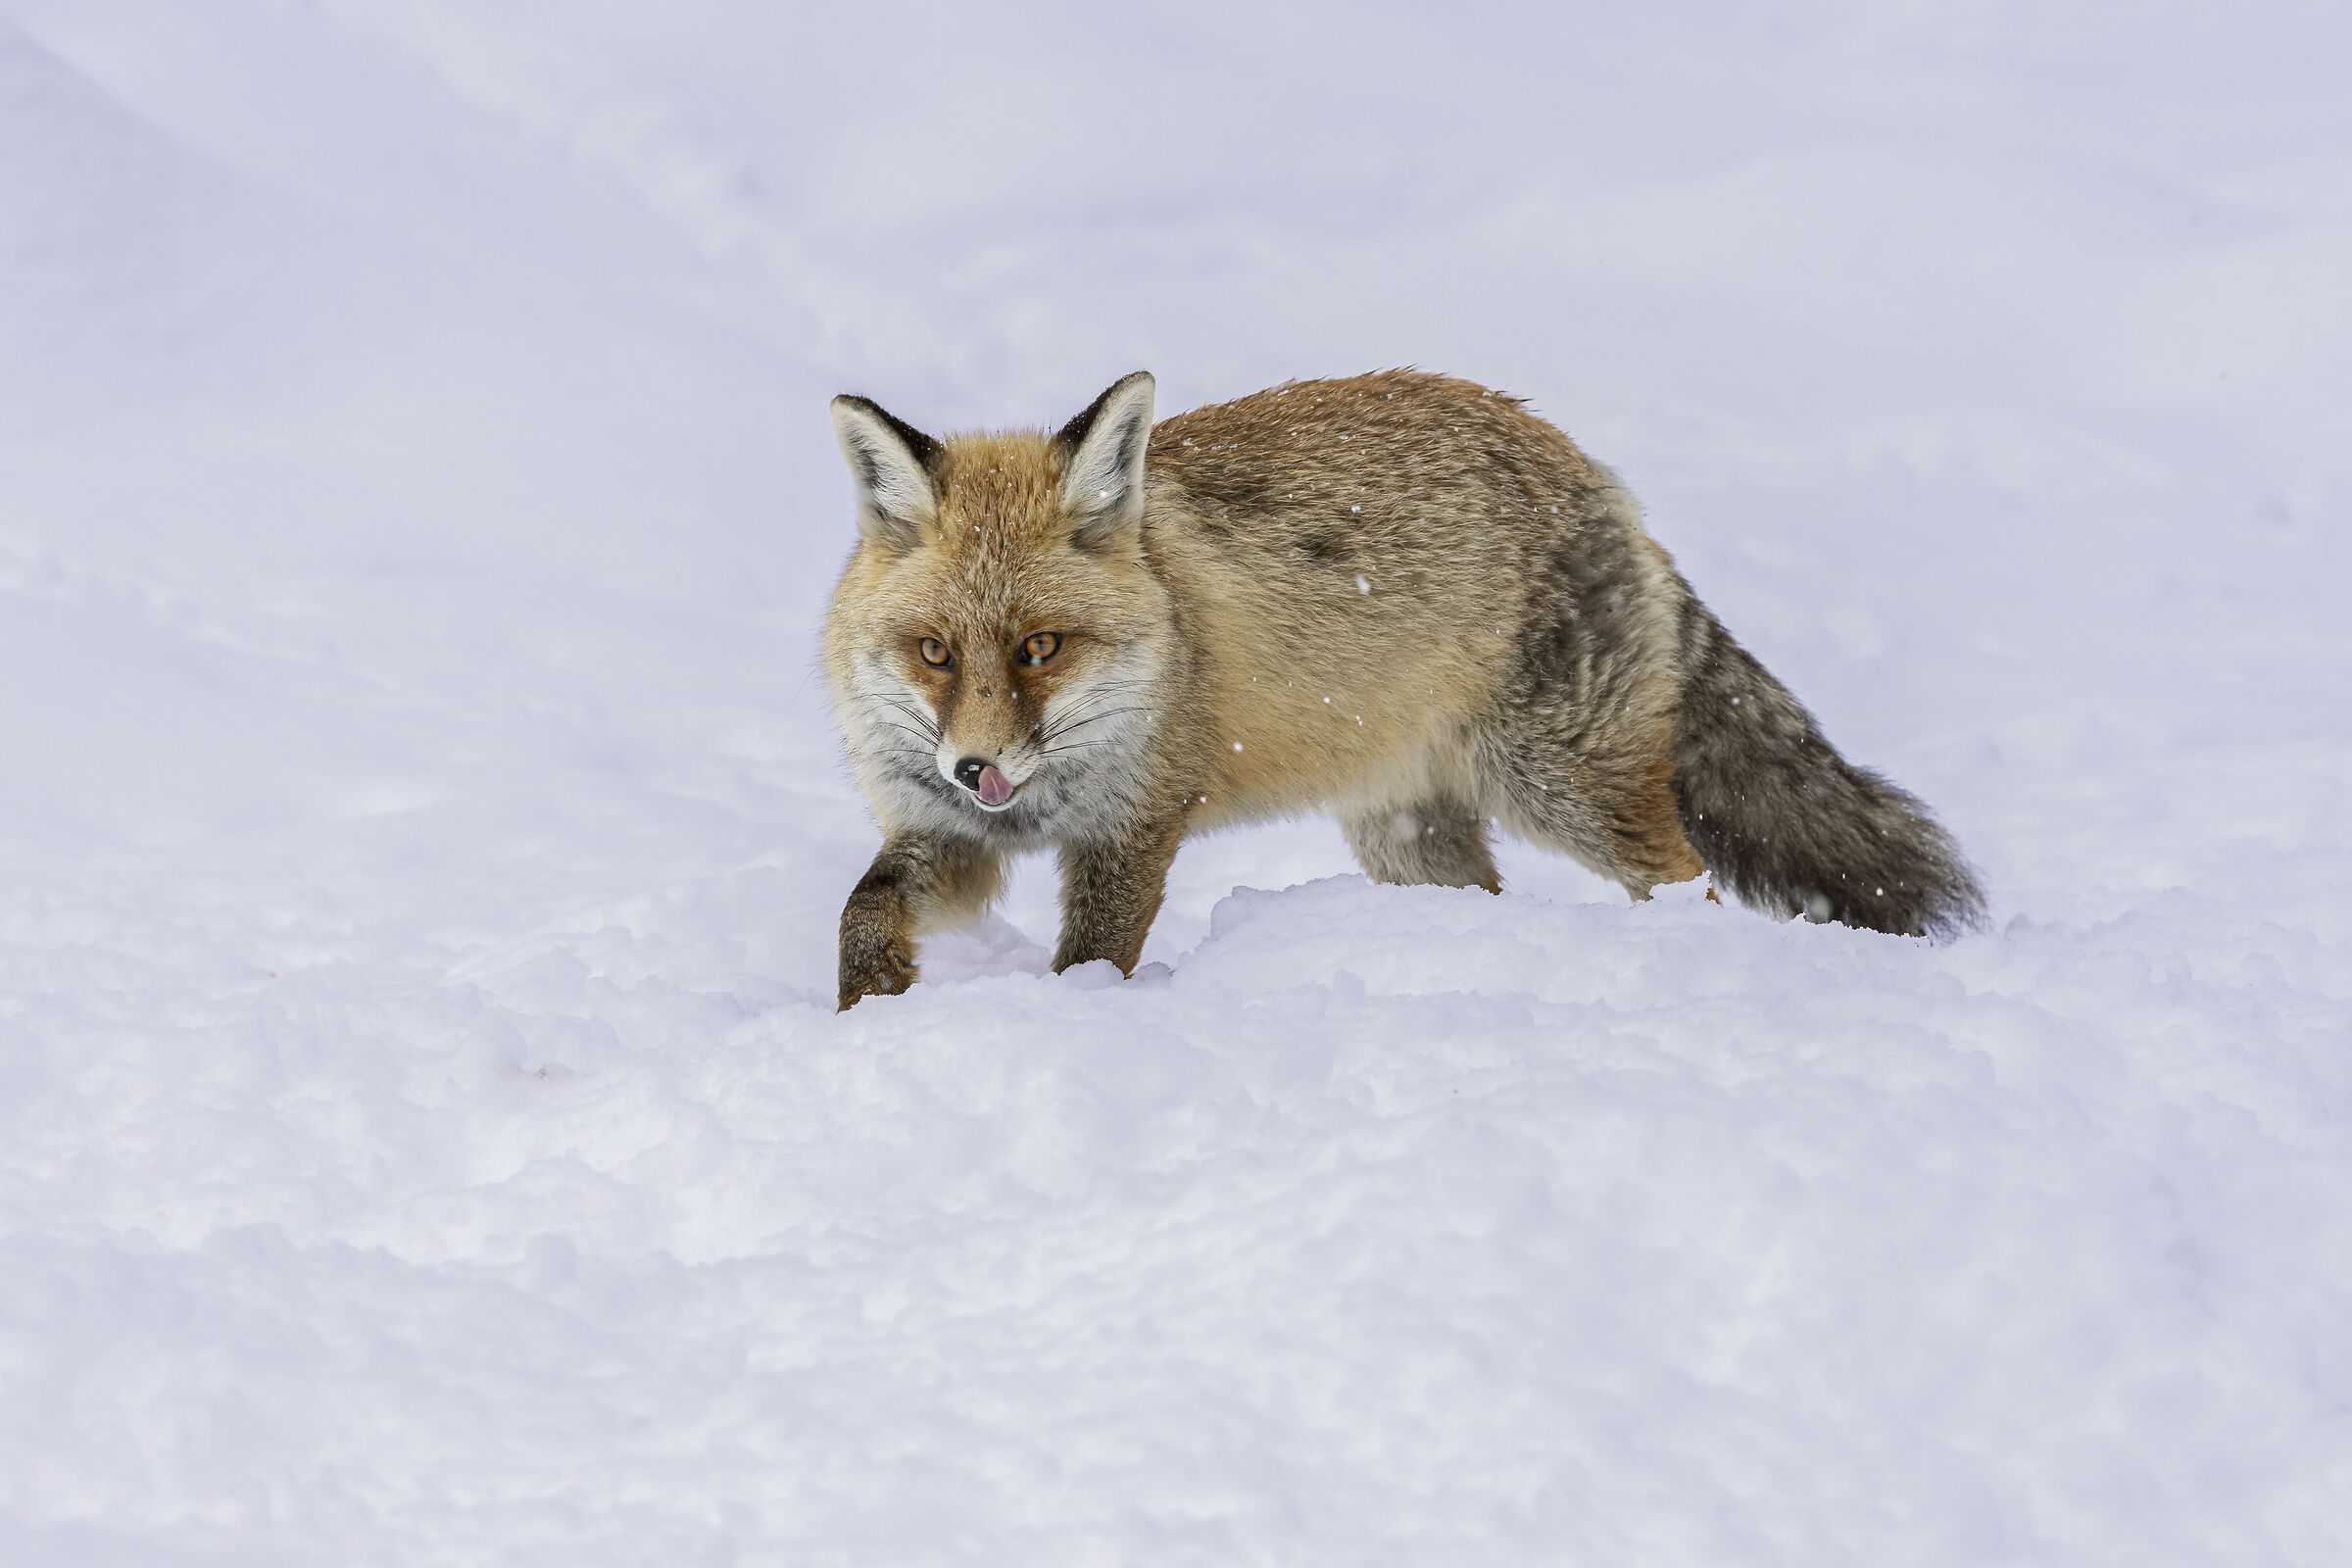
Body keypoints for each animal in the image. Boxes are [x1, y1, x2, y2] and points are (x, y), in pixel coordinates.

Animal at [822, 369, 1983, 1010]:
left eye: (1042, 646)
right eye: (934, 652)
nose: (977, 765)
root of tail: (1587, 468)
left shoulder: (1135, 826)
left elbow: (1088, 960)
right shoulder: (948, 832)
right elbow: (862, 911)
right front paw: (870, 1017)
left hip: (1565, 790)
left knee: (1685, 874)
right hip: (1410, 835)